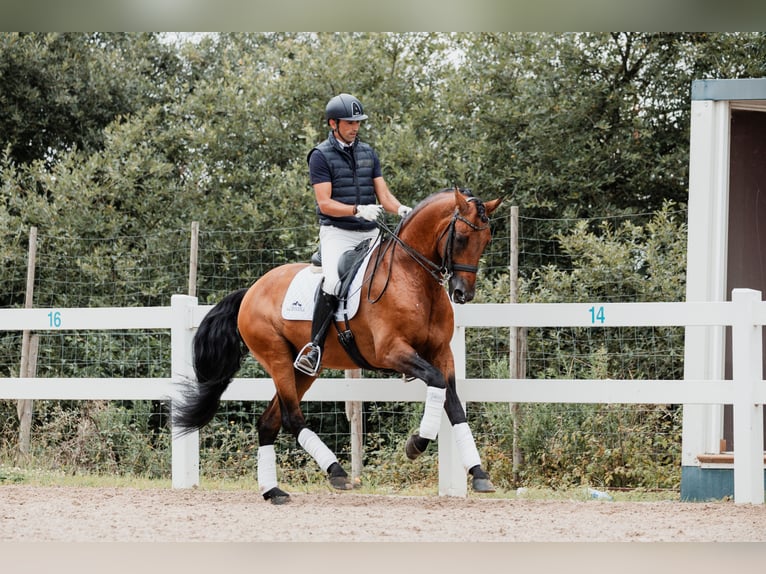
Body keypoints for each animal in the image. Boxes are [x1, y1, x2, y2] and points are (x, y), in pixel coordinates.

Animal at [177, 188, 508, 504]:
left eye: (486, 240)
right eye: (462, 237)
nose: (462, 293)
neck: (412, 278)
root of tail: (252, 290)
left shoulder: (441, 353)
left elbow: (454, 404)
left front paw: (479, 473)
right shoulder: (392, 352)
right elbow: (438, 384)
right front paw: (417, 444)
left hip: (304, 370)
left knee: (269, 422)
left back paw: (273, 492)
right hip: (277, 358)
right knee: (291, 417)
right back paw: (337, 473)